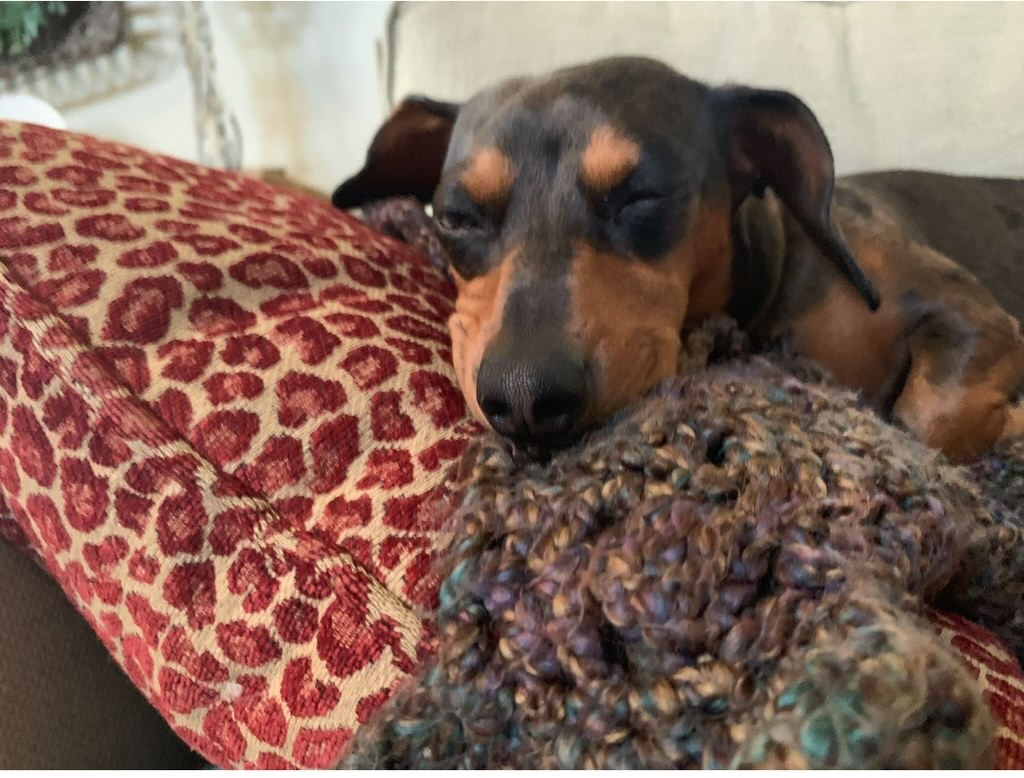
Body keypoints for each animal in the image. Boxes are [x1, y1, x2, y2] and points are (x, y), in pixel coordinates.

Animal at [332, 56, 1024, 463]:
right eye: (453, 216)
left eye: (643, 195)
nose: (525, 401)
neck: (775, 291)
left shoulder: (971, 313)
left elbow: (925, 420)